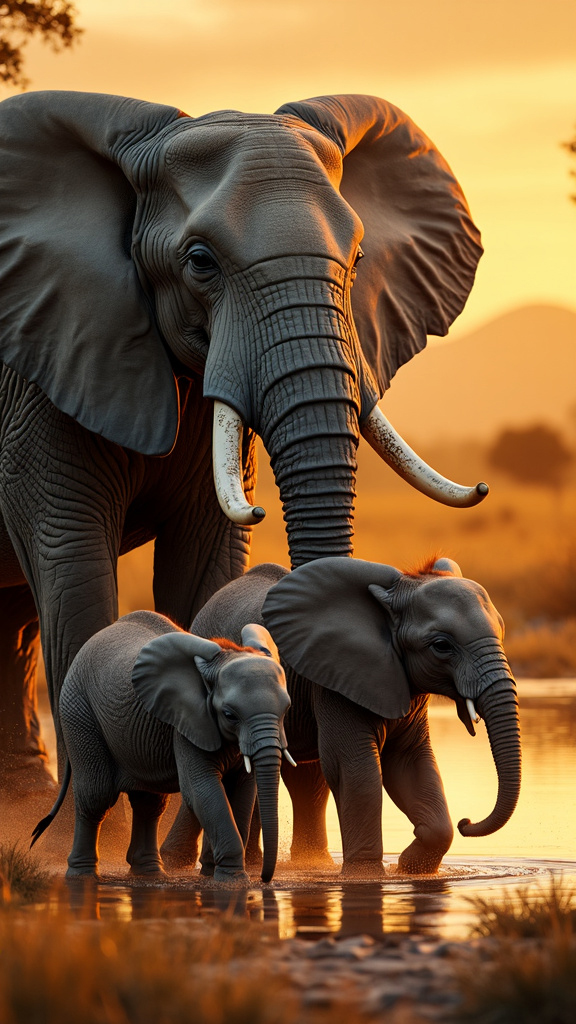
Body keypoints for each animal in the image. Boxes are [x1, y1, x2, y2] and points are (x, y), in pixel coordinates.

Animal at [33, 610, 289, 884]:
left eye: (286, 709)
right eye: (229, 715)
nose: (265, 878)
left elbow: (242, 790)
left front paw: (215, 873)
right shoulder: (186, 723)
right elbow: (200, 788)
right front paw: (233, 880)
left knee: (149, 801)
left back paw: (149, 873)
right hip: (78, 711)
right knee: (96, 796)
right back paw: (83, 875)